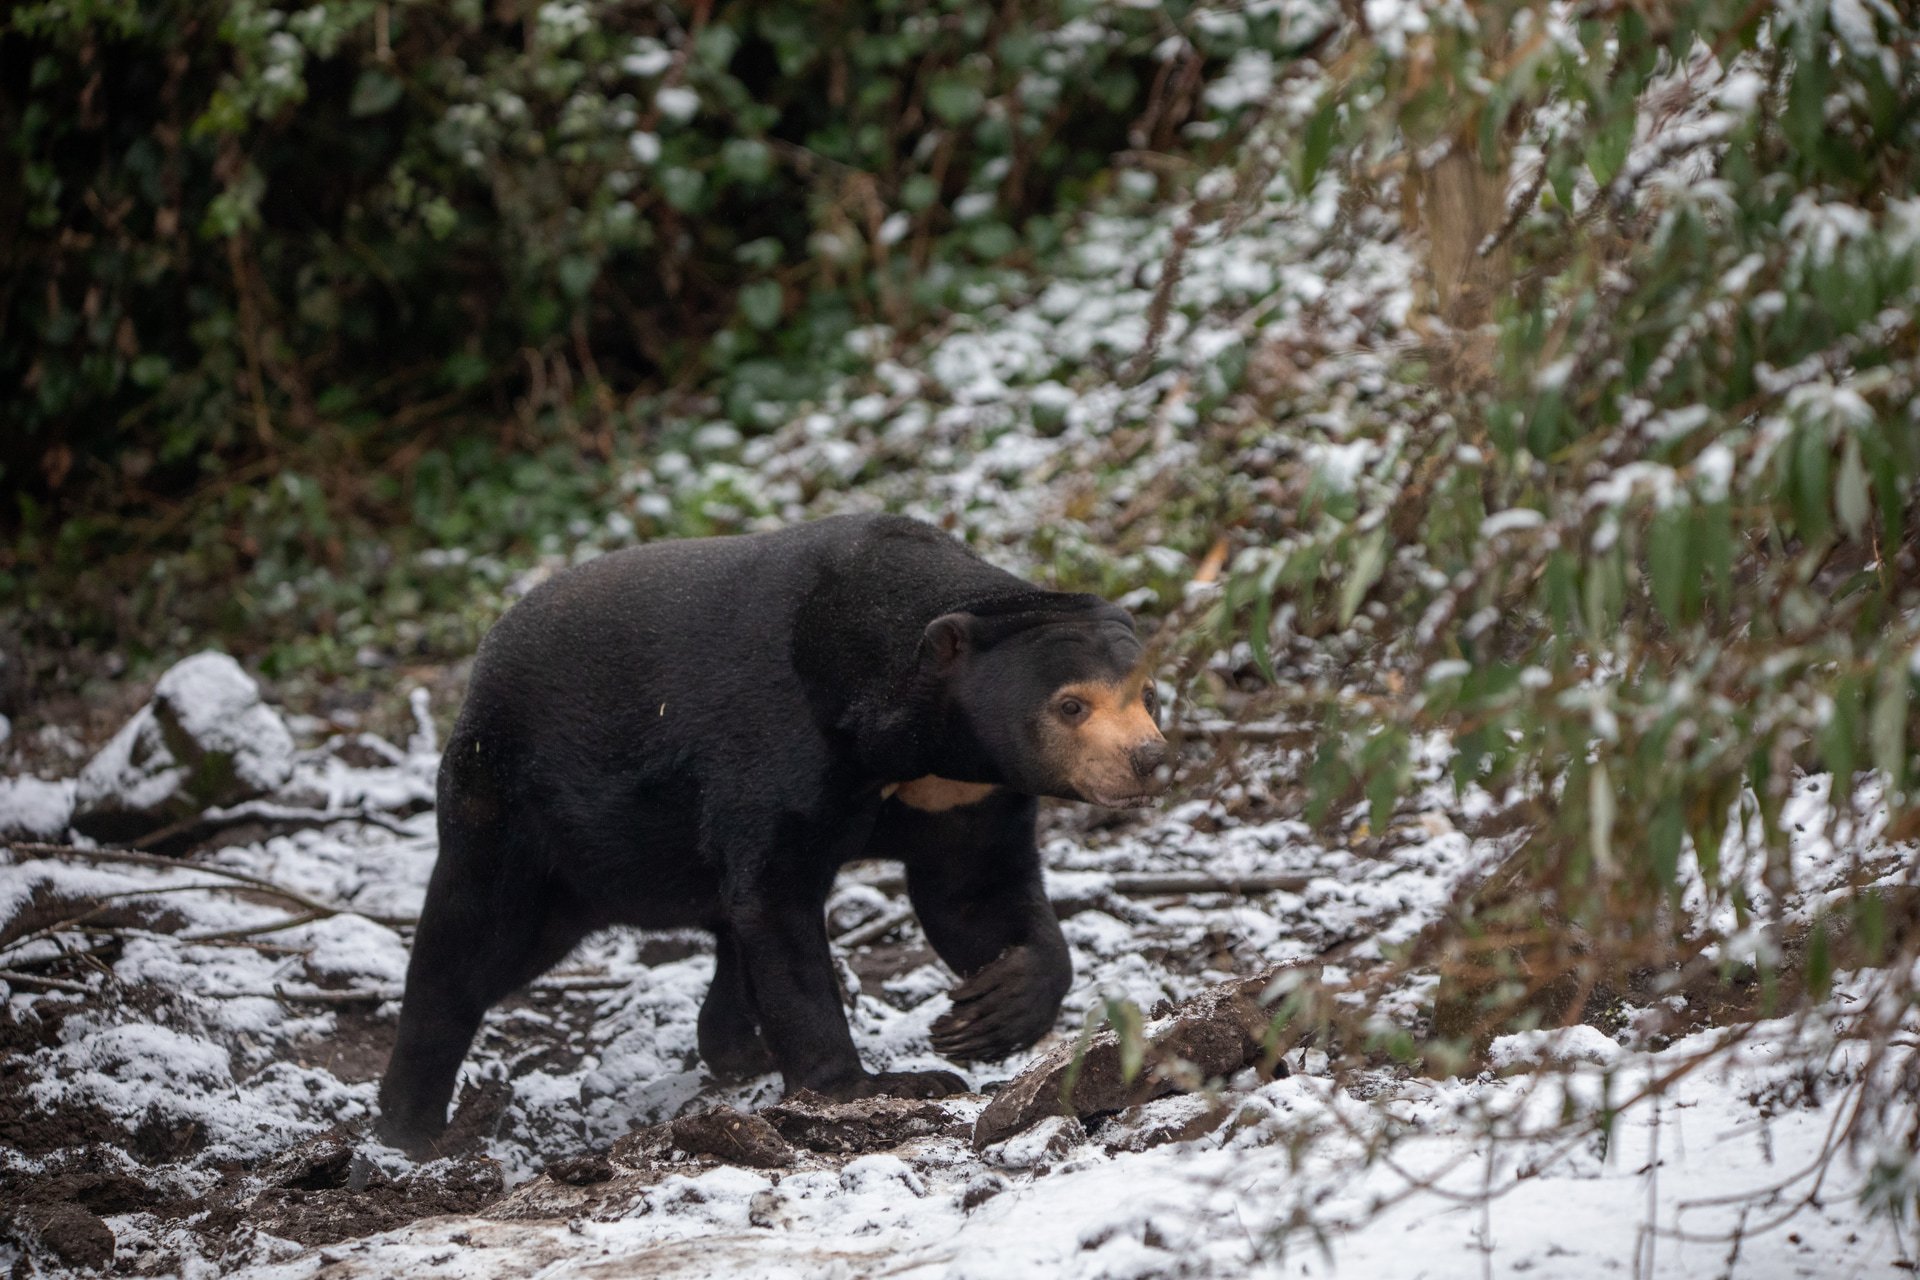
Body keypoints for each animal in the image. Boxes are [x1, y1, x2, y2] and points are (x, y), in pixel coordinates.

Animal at [376, 512, 1168, 1150]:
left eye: (1149, 694)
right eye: (1071, 705)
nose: (1149, 758)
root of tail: (482, 659)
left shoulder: (963, 793)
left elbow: (975, 894)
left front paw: (993, 1007)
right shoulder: (774, 739)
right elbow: (780, 903)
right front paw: (879, 1084)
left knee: (724, 930)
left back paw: (736, 1051)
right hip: (518, 804)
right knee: (473, 943)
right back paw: (411, 1128)